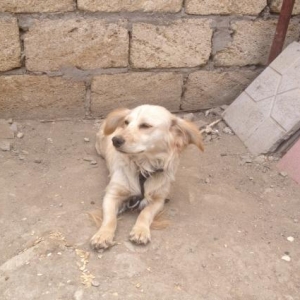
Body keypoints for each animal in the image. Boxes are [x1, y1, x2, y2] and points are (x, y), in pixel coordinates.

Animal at [91, 104, 204, 250]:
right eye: (126, 123)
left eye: (145, 125)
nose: (115, 140)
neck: (143, 168)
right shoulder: (112, 194)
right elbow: (110, 218)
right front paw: (103, 235)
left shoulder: (159, 200)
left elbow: (145, 213)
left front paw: (140, 230)